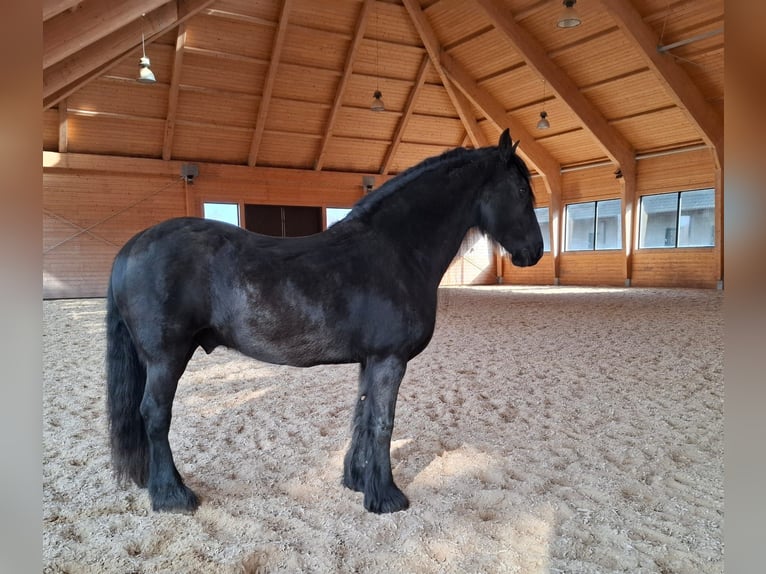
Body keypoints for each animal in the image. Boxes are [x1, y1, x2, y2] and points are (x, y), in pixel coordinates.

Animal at [105, 128, 544, 515]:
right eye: (522, 191)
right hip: (167, 358)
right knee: (155, 415)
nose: (534, 252)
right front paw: (386, 497)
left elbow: (362, 416)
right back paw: (172, 496)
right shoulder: (390, 359)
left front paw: (358, 480)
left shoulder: (371, 360)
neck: (397, 250)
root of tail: (133, 245)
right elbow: (383, 422)